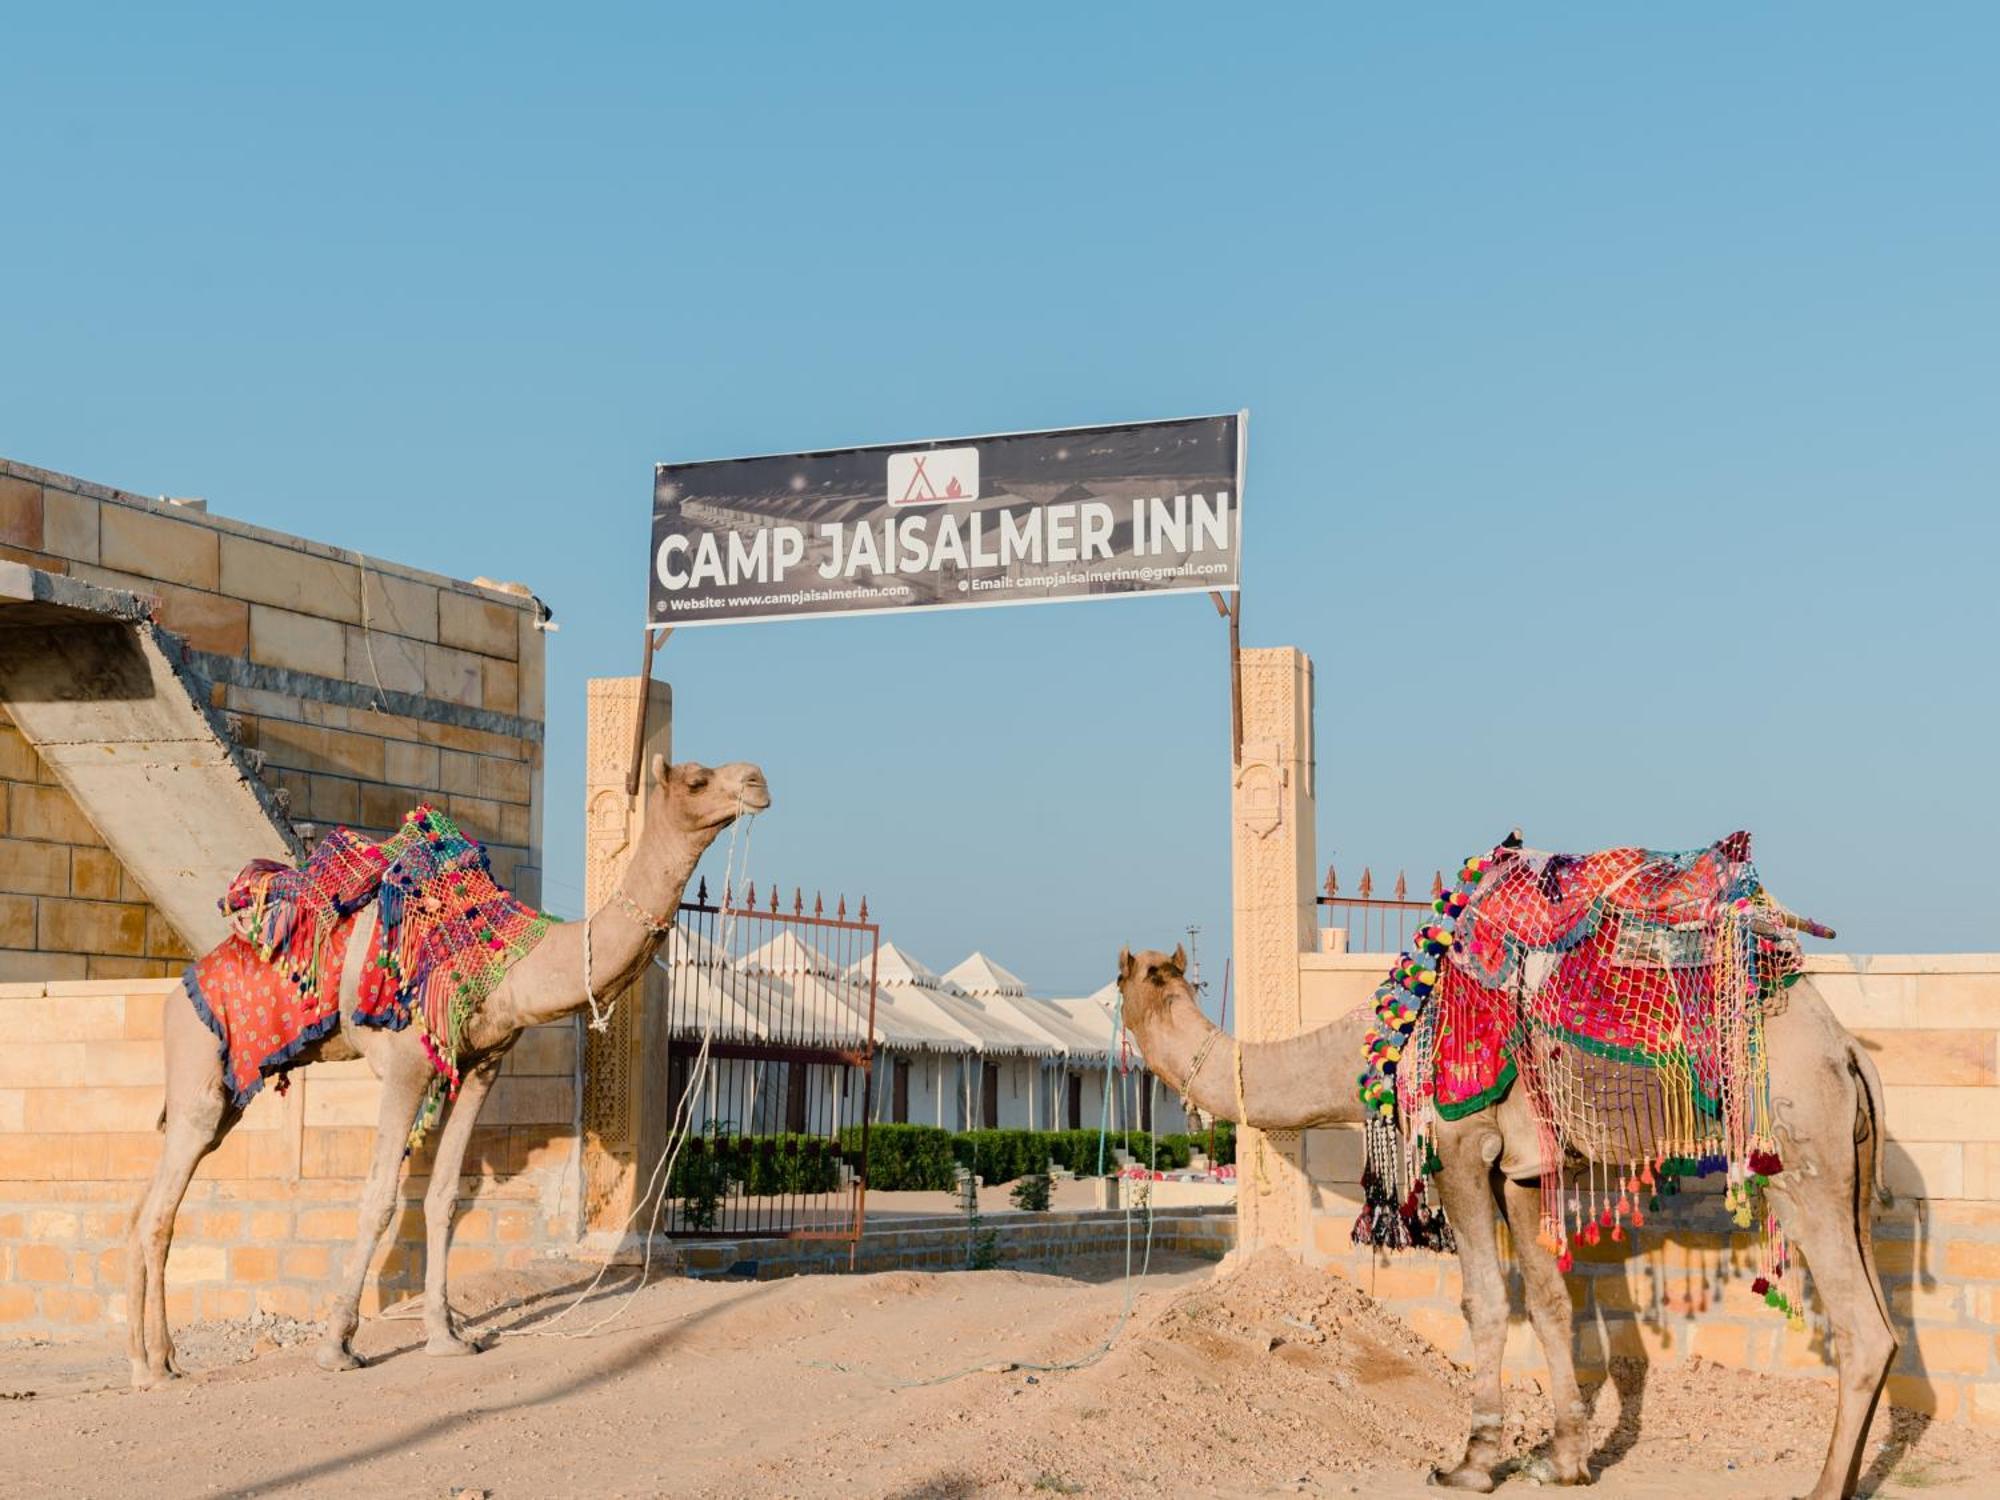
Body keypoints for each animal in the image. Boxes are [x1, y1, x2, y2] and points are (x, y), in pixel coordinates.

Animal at [123, 756, 764, 1392]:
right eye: (697, 781)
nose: (757, 781)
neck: (512, 962)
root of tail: (175, 994)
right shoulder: (407, 1064)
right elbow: (381, 1198)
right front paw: (337, 1346)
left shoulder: (483, 1064)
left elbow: (444, 1197)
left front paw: (448, 1335)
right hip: (199, 1064)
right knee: (160, 1211)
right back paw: (154, 1368)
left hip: (226, 1096)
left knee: (149, 1205)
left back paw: (151, 1359)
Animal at [1120, 952, 1896, 1500]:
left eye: (1126, 986)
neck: (1381, 1043)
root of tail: (1848, 1050)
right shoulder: (1522, 1168)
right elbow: (1550, 1301)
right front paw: (1565, 1462)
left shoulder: (1462, 1145)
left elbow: (1486, 1300)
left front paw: (1469, 1462)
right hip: (1850, 1160)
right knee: (1883, 1321)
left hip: (1798, 1148)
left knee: (1861, 1325)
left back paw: (1823, 1489)